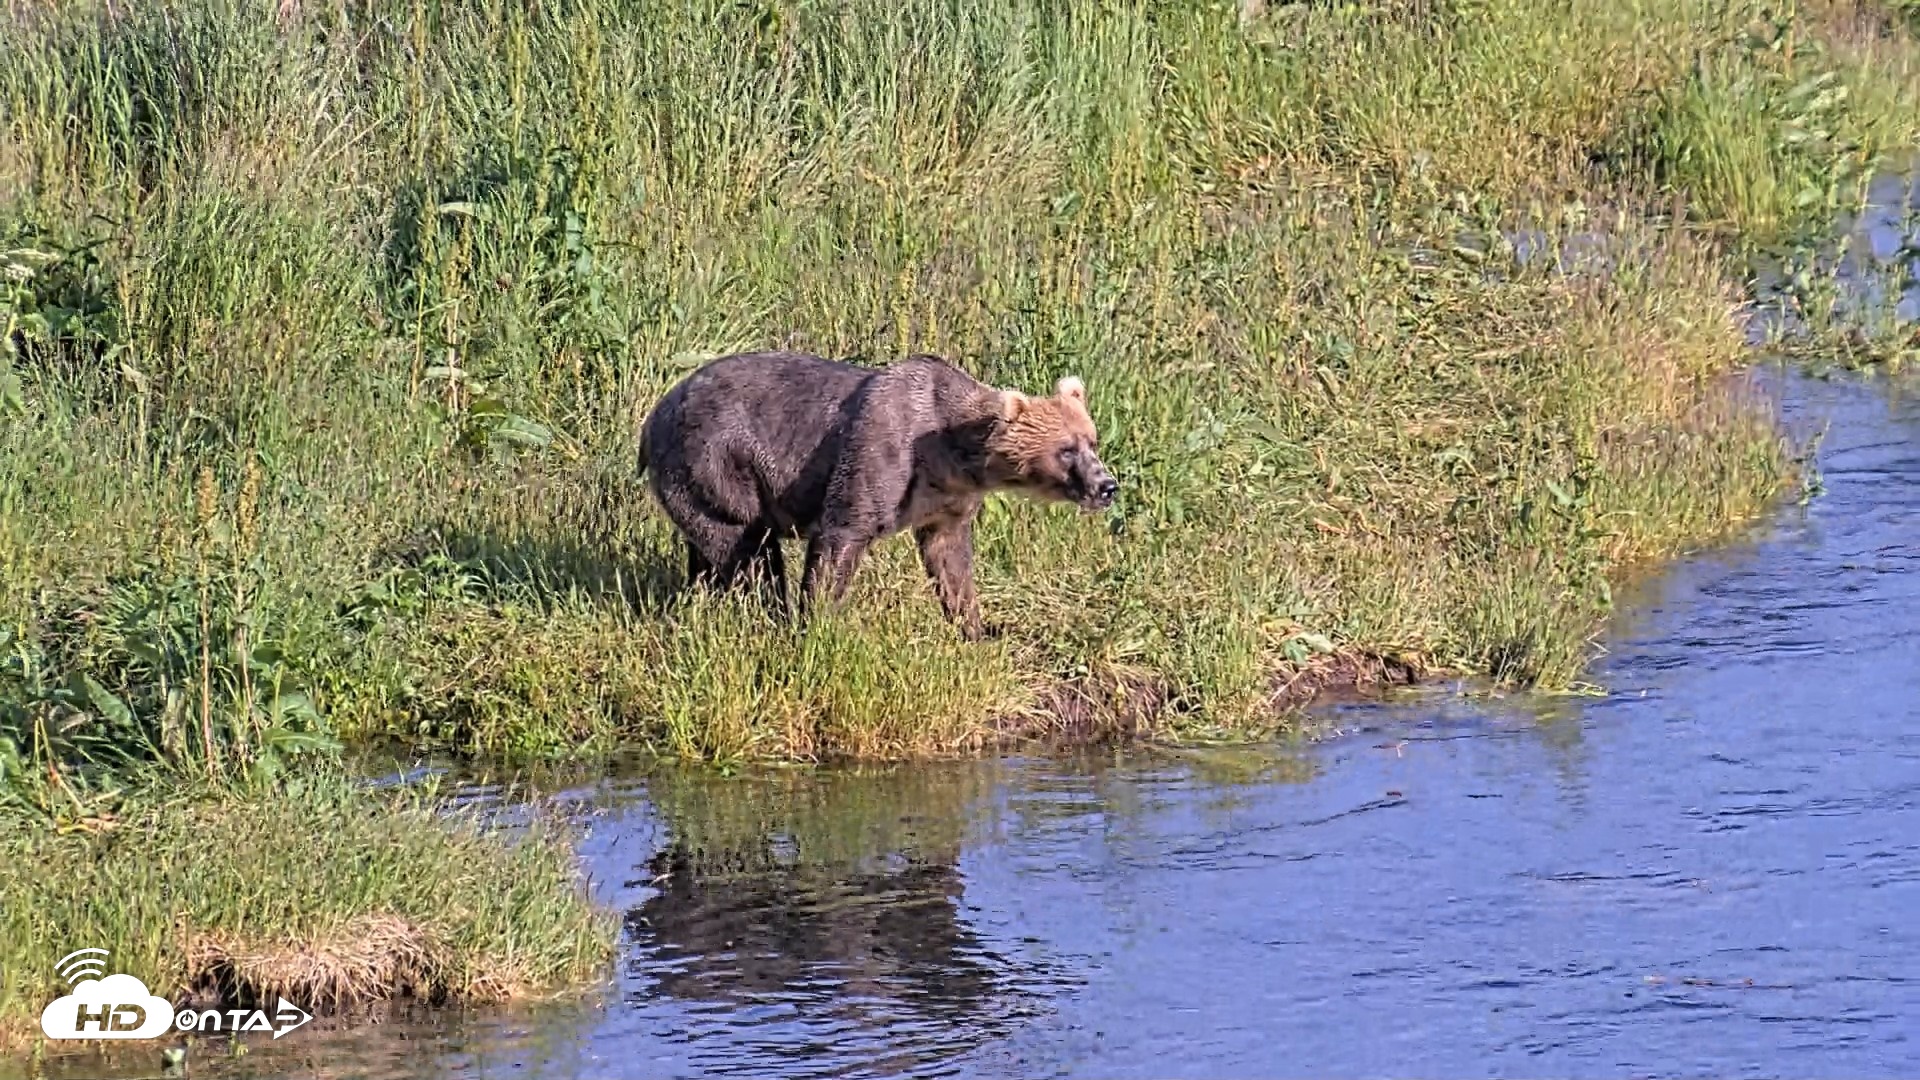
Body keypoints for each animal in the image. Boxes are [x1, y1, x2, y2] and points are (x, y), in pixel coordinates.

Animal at [635, 350, 1117, 639]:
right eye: (1066, 449)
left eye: (1092, 440)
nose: (1107, 485)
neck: (949, 454)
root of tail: (652, 416)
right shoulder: (880, 454)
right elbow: (842, 534)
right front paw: (821, 625)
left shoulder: (946, 500)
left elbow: (950, 558)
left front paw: (977, 628)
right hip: (714, 460)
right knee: (746, 550)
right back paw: (771, 615)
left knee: (708, 551)